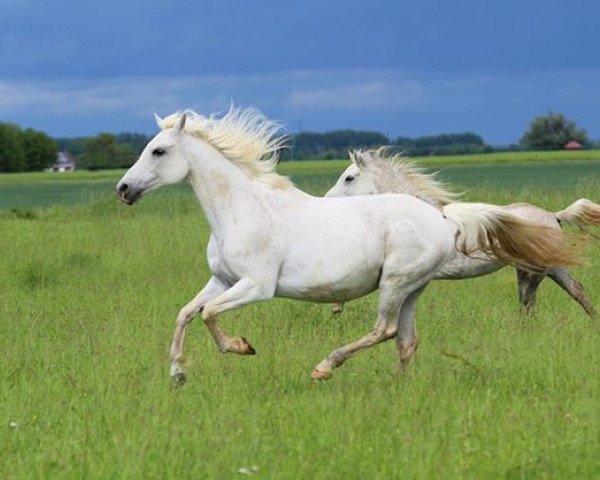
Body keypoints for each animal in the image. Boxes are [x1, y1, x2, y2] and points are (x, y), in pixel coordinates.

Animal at [326, 148, 596, 316]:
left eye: (349, 178)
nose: (326, 200)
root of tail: (554, 215)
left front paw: (336, 306)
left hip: (532, 270)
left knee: (529, 303)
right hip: (550, 265)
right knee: (576, 290)